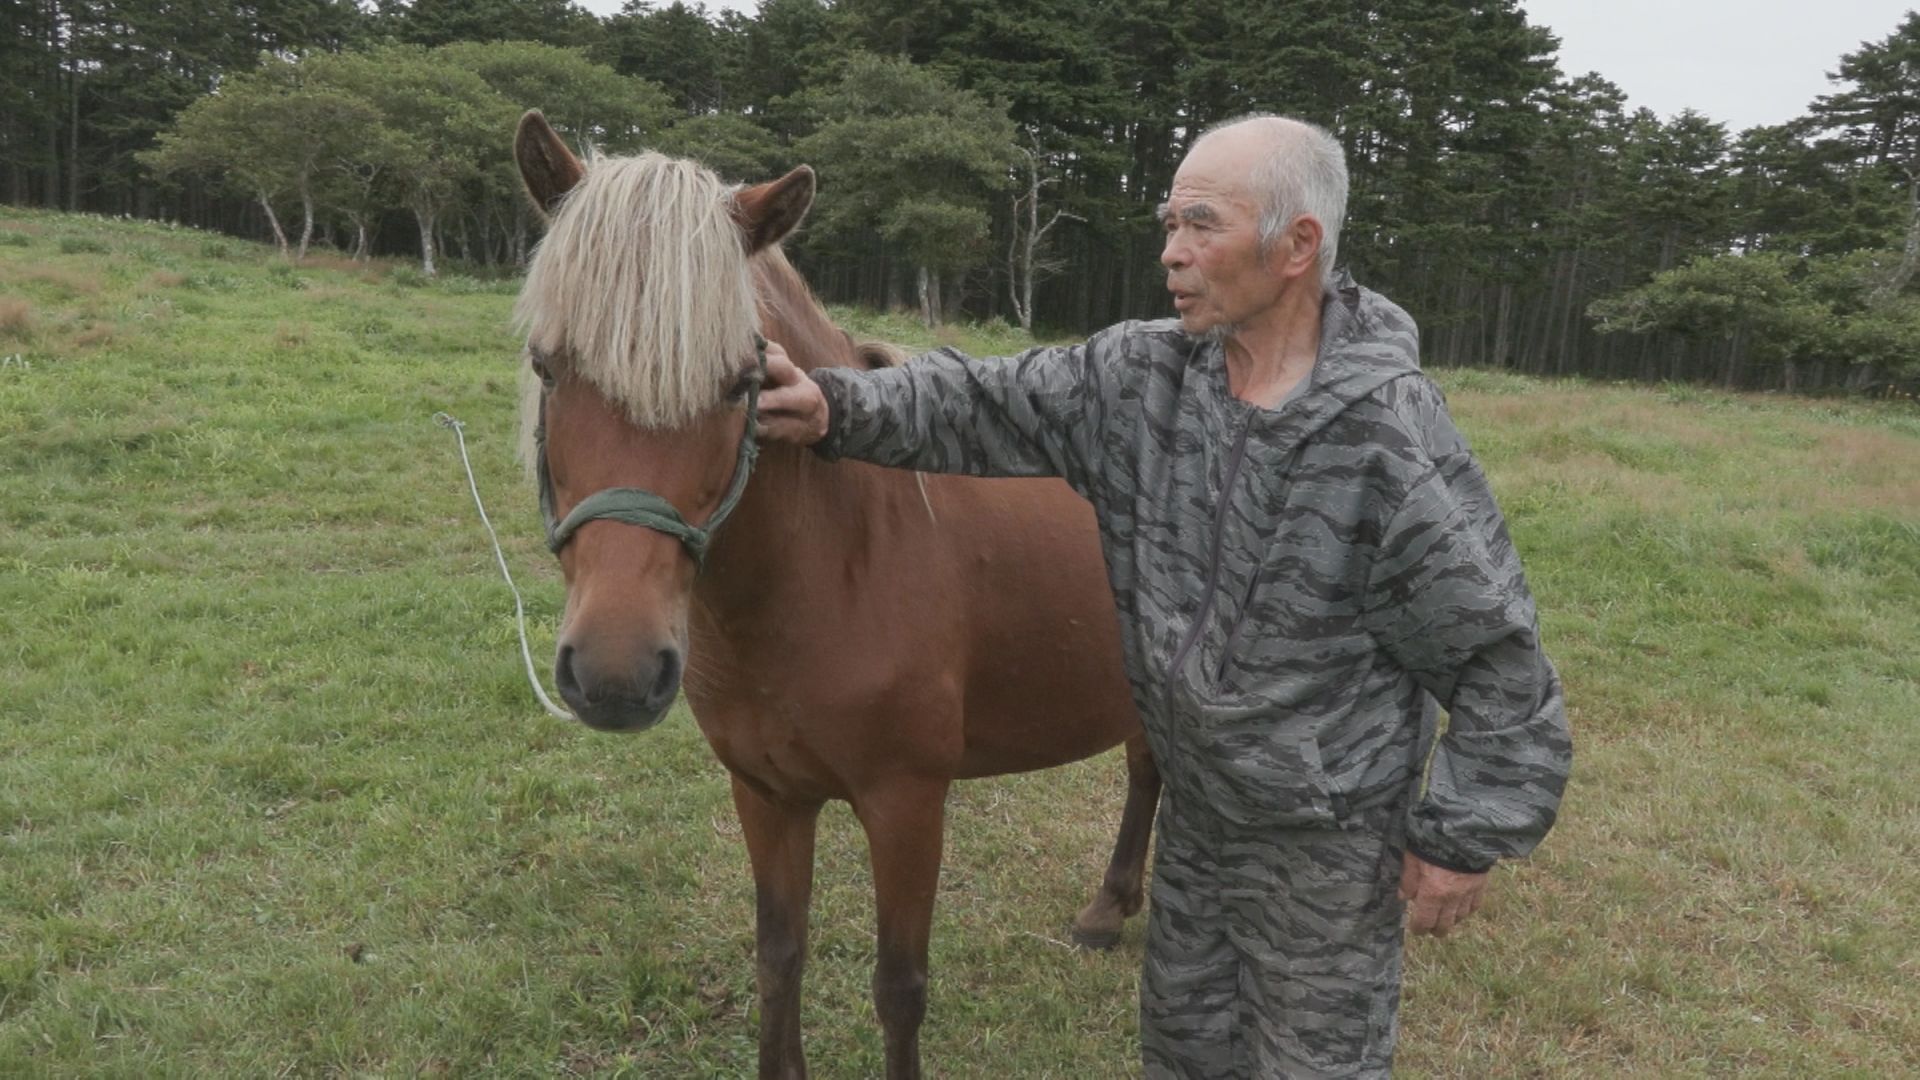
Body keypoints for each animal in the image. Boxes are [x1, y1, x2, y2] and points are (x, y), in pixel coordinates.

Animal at [506, 113, 1152, 1068]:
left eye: (741, 382)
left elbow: (899, 990)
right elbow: (780, 957)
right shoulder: (766, 795)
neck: (837, 562)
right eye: (549, 368)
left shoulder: (908, 804)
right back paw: (1111, 908)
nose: (615, 674)